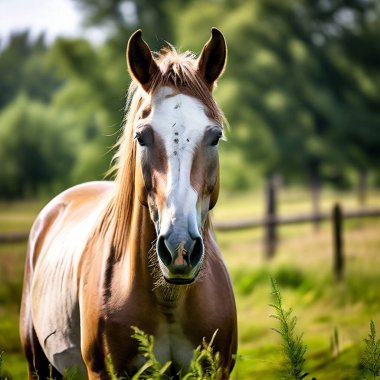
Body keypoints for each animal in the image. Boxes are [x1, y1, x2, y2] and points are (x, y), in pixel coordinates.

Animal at [19, 28, 238, 378]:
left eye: (214, 136)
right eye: (142, 136)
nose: (180, 249)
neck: (169, 301)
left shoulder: (216, 370)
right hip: (38, 365)